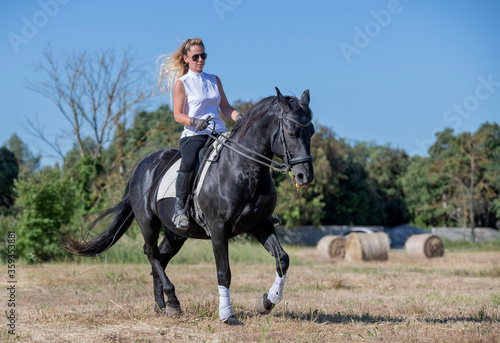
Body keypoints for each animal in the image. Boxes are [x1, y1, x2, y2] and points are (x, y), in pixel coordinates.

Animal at [64, 87, 314, 326]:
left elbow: (282, 259)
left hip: (175, 234)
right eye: (292, 132)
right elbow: (224, 272)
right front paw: (228, 316)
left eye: (311, 131)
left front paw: (267, 302)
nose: (305, 176)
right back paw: (173, 301)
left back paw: (162, 306)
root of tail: (141, 165)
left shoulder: (260, 225)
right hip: (148, 223)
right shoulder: (219, 229)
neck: (244, 170)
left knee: (161, 258)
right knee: (151, 253)